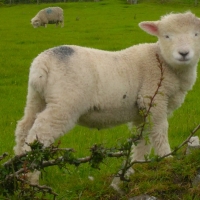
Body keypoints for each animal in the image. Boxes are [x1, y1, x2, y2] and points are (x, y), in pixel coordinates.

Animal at [15, 11, 200, 185]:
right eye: (166, 36)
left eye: (196, 34)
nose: (184, 53)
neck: (163, 61)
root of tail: (42, 64)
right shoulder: (152, 98)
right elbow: (160, 130)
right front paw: (167, 161)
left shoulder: (141, 111)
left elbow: (143, 138)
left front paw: (136, 168)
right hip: (64, 103)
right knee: (40, 133)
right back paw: (31, 176)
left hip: (36, 97)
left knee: (24, 126)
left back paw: (18, 170)